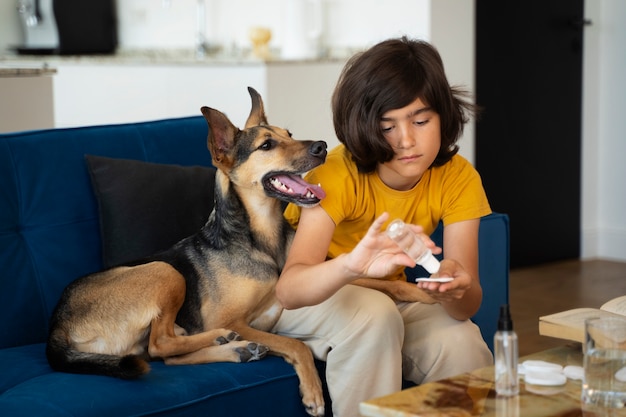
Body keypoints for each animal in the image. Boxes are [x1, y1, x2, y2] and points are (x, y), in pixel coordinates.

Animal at [45, 86, 326, 414]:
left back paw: (238, 350)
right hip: (164, 270)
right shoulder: (230, 319)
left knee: (167, 356)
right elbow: (297, 344)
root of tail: (57, 327)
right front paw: (313, 392)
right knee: (161, 345)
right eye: (267, 145)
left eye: (289, 134)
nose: (322, 146)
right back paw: (223, 340)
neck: (262, 240)